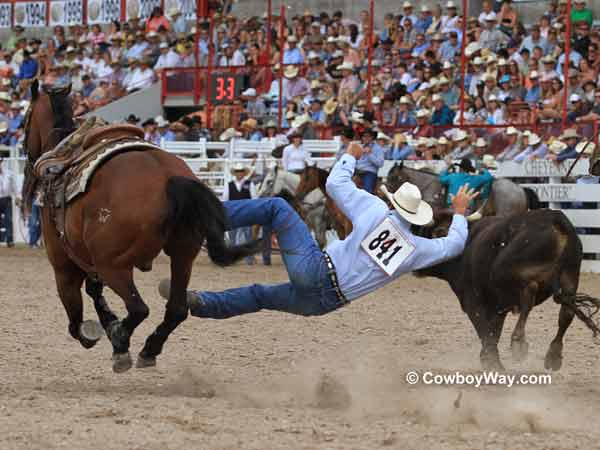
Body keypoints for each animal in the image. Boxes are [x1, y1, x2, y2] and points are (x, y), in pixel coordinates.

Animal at [21, 81, 254, 372]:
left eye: (25, 120)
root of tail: (168, 177)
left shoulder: (64, 265)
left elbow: (76, 319)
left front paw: (98, 332)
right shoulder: (90, 261)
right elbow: (94, 292)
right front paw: (109, 323)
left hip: (113, 266)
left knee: (138, 308)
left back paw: (120, 342)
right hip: (182, 255)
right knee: (176, 309)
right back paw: (148, 348)